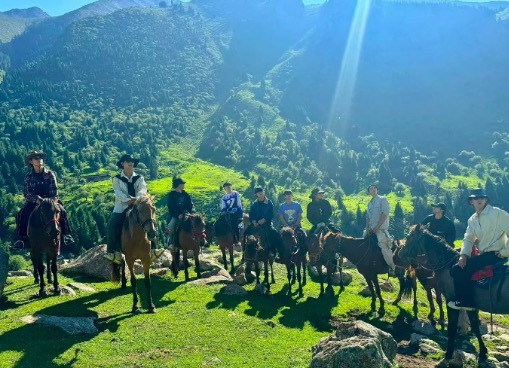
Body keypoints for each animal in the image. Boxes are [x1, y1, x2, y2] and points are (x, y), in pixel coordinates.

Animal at [398, 226, 498, 364]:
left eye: (409, 237)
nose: (400, 254)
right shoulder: (430, 287)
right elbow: (431, 299)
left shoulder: (444, 292)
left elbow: (440, 302)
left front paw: (440, 319)